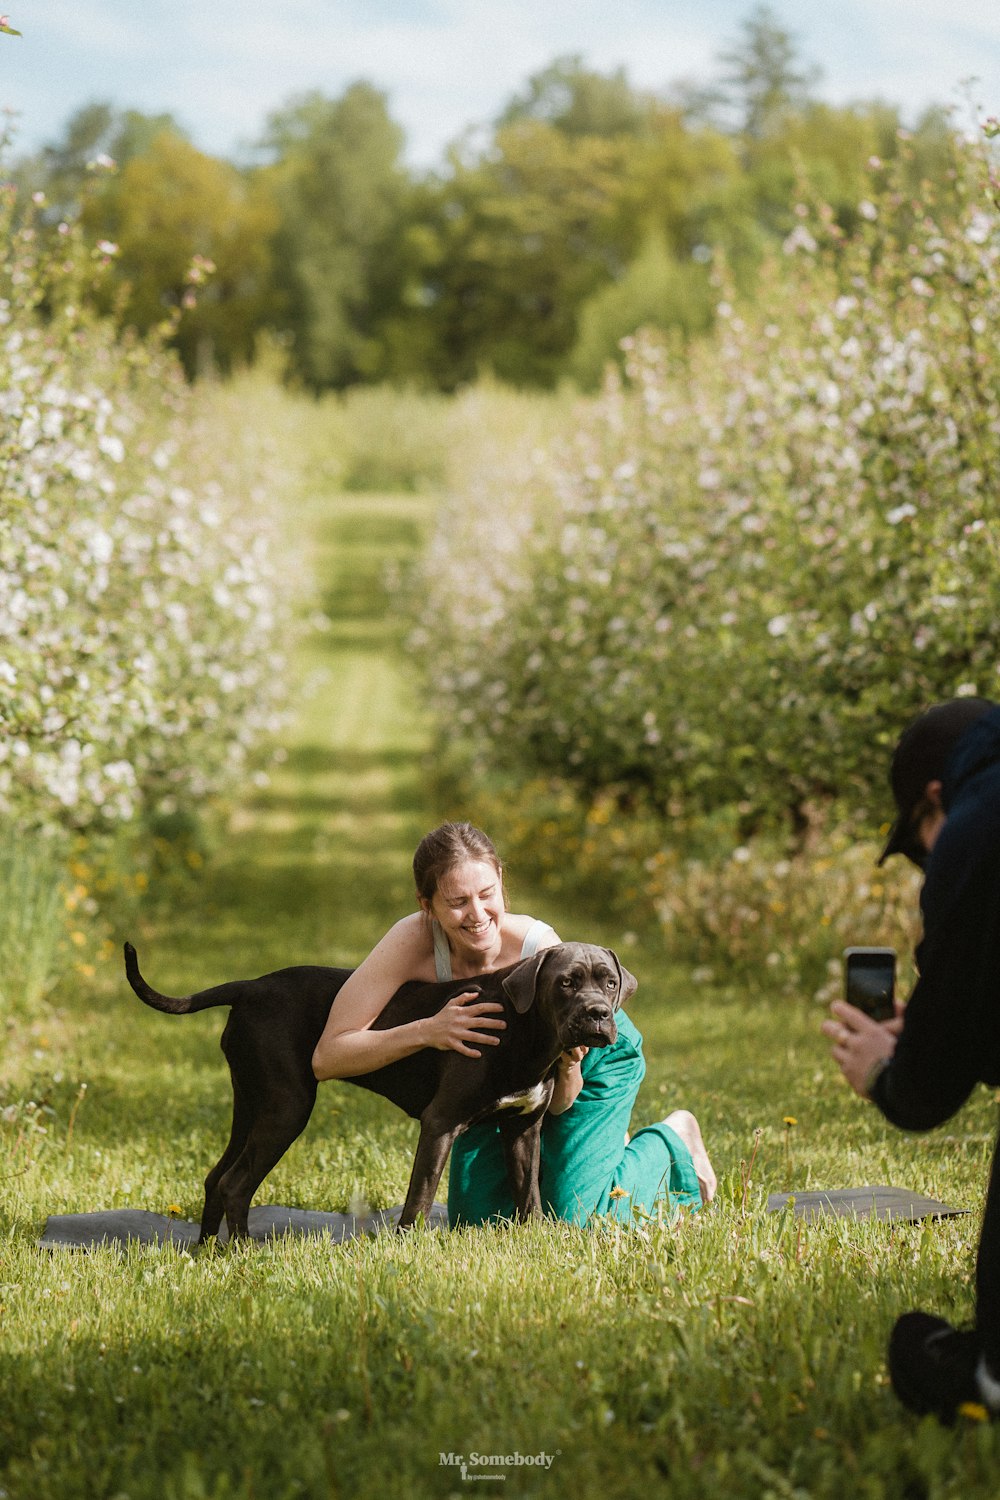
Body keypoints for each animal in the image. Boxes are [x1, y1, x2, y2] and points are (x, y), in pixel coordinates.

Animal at [122, 936, 632, 1242]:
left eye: (609, 983)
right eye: (566, 983)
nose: (598, 1014)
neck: (525, 1030)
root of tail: (250, 986)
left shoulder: (524, 1130)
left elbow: (529, 1196)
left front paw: (532, 1241)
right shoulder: (441, 1123)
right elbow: (420, 1196)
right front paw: (408, 1247)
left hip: (251, 1105)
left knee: (216, 1177)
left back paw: (208, 1251)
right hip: (286, 1108)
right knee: (234, 1184)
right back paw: (243, 1252)